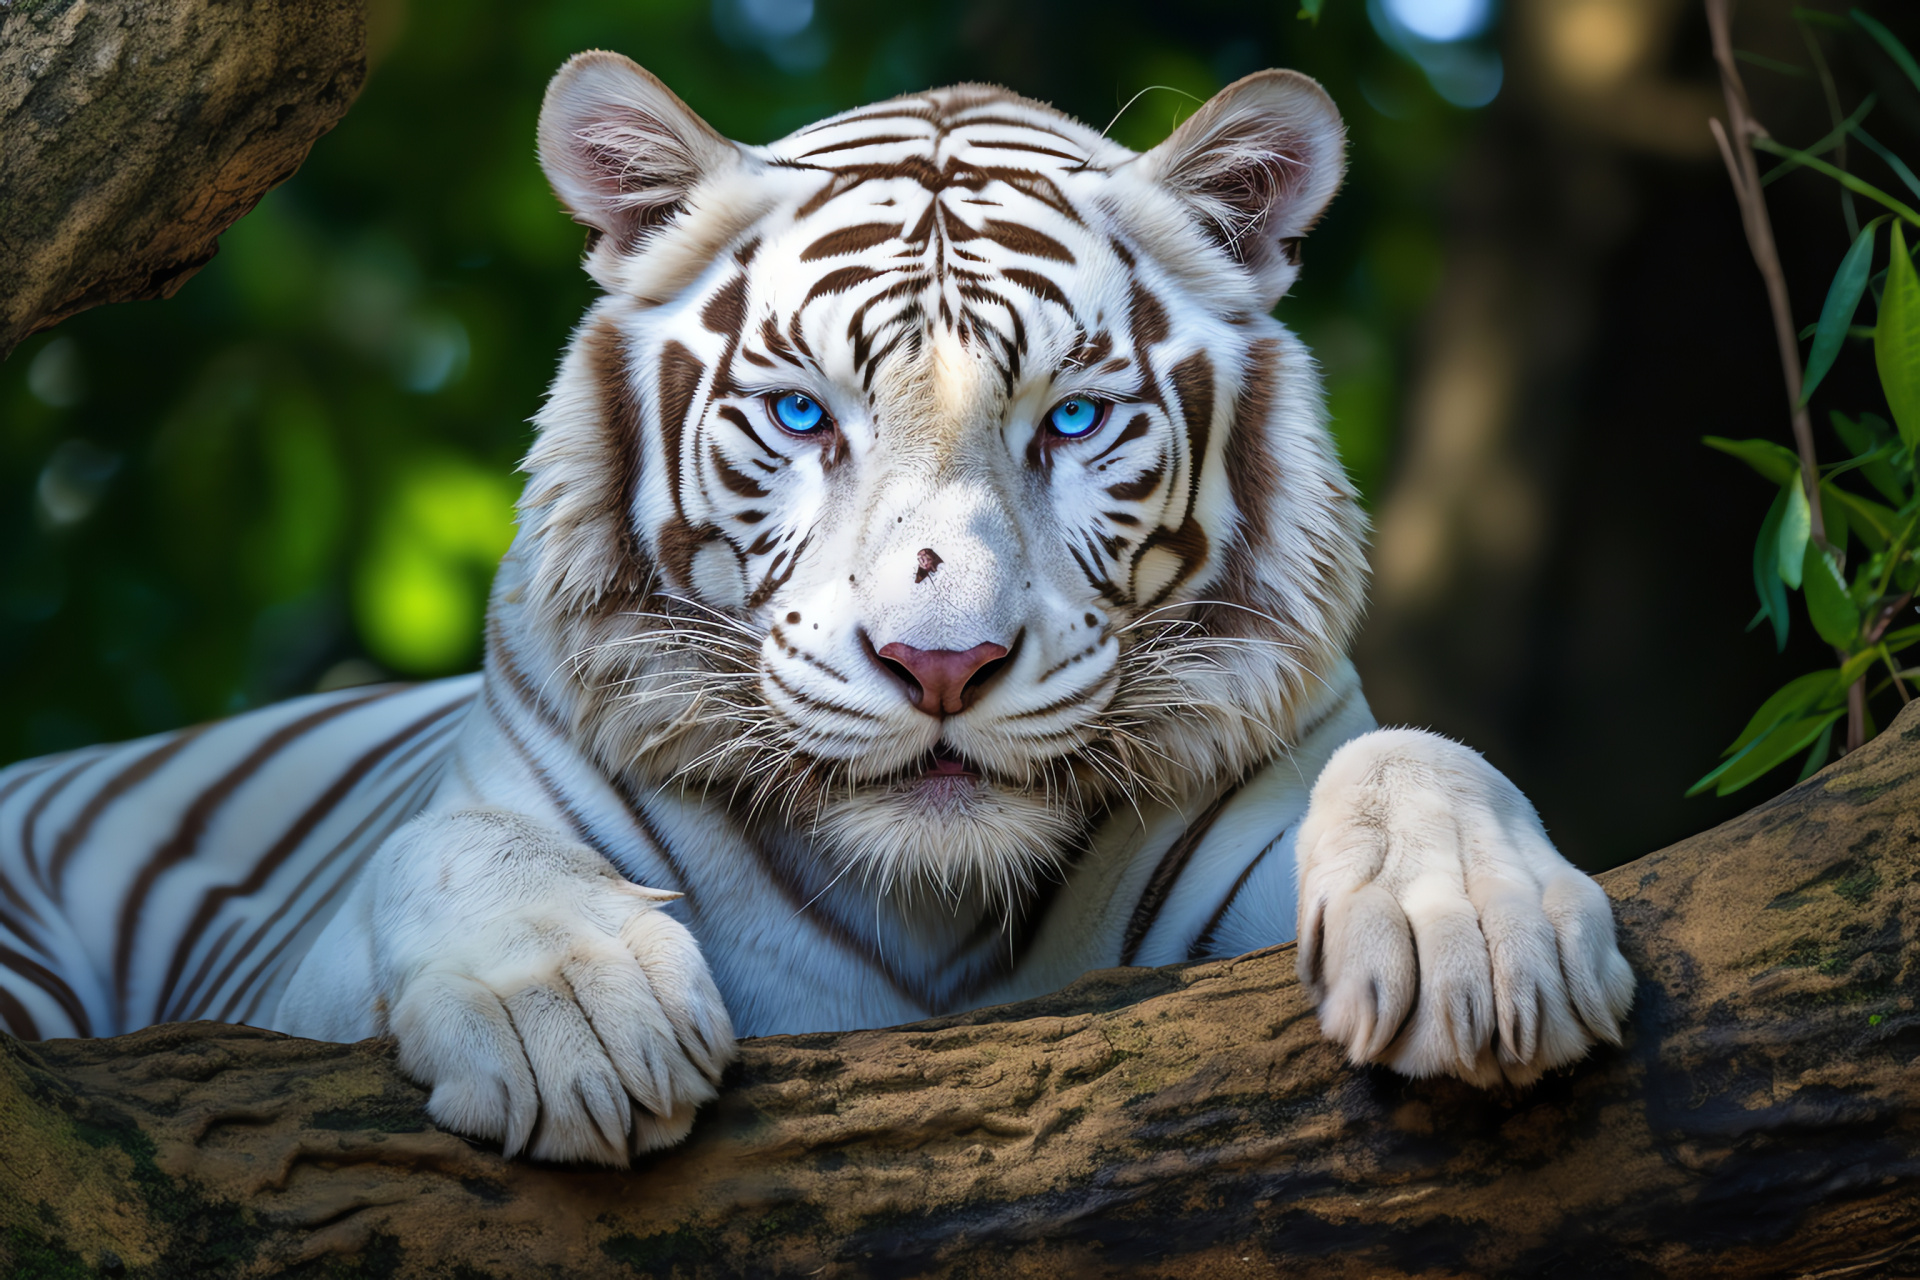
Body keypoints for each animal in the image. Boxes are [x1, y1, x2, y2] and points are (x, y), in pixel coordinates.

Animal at [0, 55, 1635, 1166]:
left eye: (1075, 420)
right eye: (801, 413)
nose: (942, 664)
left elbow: (1420, 752)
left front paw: (1483, 944)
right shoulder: (286, 981)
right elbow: (446, 845)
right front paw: (570, 1014)